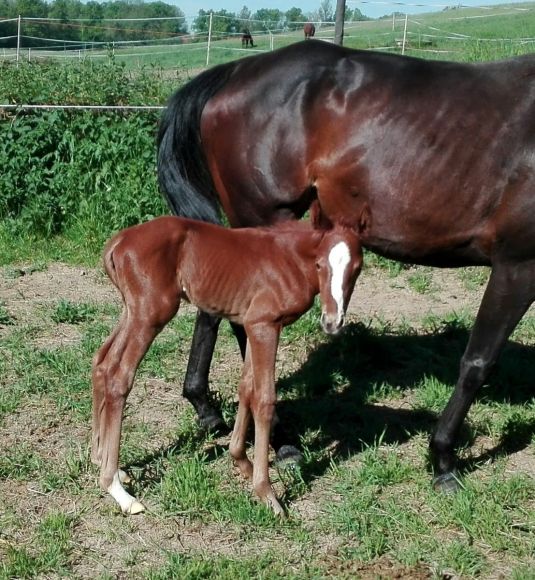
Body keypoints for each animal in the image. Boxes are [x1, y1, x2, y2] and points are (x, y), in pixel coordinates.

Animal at [91, 211, 364, 516]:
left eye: (356, 268)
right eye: (319, 264)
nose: (332, 322)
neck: (291, 258)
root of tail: (120, 240)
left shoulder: (250, 322)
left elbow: (246, 388)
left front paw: (241, 461)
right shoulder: (264, 325)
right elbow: (264, 399)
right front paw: (268, 494)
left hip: (131, 311)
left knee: (102, 363)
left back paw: (103, 461)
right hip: (150, 315)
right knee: (119, 378)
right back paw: (118, 490)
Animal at [157, 39, 535, 494]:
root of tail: (235, 71)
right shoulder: (518, 264)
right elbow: (478, 362)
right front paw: (443, 459)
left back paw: (206, 407)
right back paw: (283, 441)